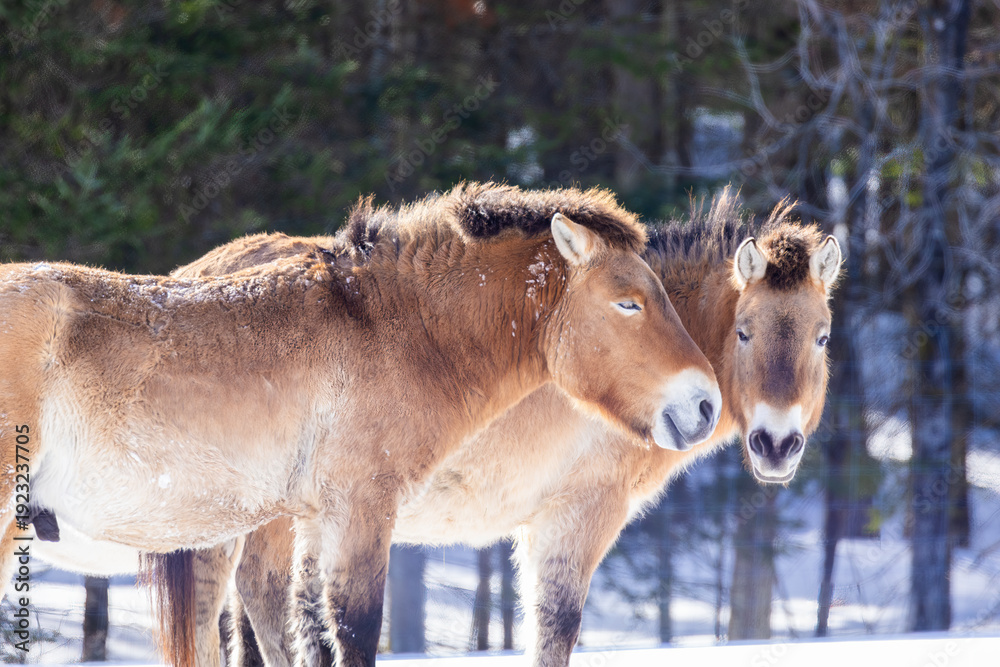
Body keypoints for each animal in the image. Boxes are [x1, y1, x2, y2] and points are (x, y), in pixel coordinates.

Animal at [0, 182, 721, 667]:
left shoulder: (319, 520)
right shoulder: (363, 510)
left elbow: (315, 632)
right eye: (628, 302)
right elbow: (354, 631)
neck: (387, 327)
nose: (705, 402)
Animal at [142, 186, 842, 667]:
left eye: (822, 336)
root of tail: (191, 278)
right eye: (746, 332)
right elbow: (555, 630)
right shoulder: (576, 518)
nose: (776, 443)